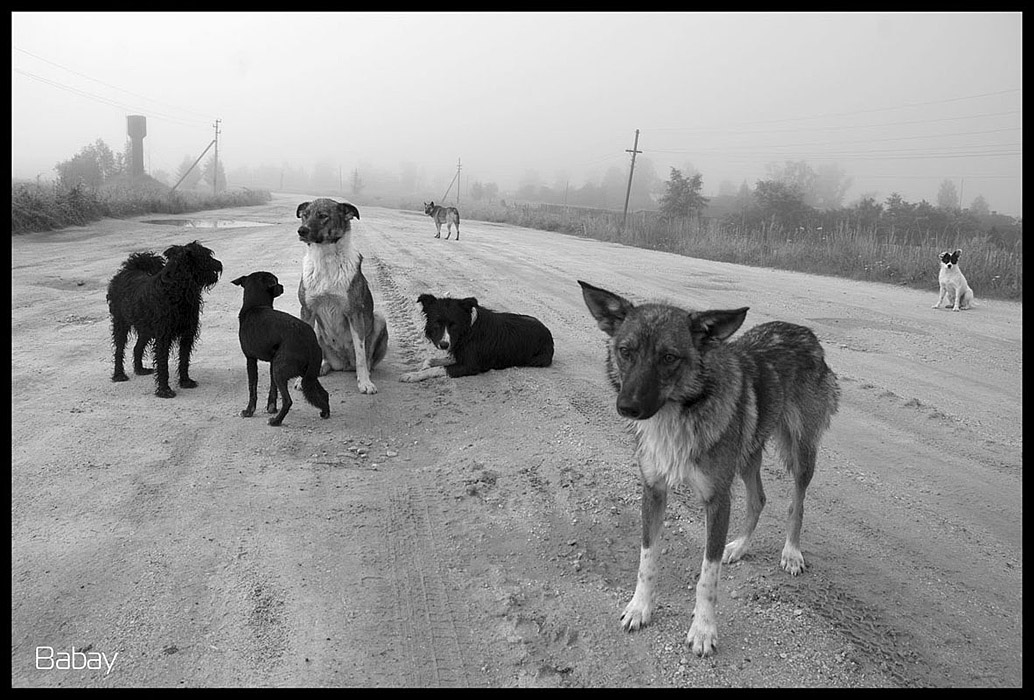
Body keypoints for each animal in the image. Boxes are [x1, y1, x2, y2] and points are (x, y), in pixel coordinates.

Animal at [107, 238, 222, 394]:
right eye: (206, 256)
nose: (219, 264)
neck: (178, 289)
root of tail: (129, 269)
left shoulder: (187, 333)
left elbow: (184, 359)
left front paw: (185, 382)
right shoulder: (163, 335)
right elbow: (163, 362)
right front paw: (164, 390)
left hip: (145, 328)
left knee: (137, 347)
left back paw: (140, 370)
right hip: (121, 324)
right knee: (119, 350)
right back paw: (119, 375)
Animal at [232, 270, 328, 425]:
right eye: (276, 282)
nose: (281, 286)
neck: (255, 306)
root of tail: (311, 342)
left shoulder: (251, 359)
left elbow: (252, 388)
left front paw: (248, 411)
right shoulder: (272, 362)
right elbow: (272, 388)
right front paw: (271, 407)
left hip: (280, 370)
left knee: (288, 401)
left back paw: (276, 421)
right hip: (307, 374)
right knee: (324, 394)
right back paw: (325, 412)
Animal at [297, 197, 388, 392]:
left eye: (323, 216)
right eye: (305, 215)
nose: (301, 230)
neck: (325, 259)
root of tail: (344, 363)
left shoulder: (354, 313)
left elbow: (361, 355)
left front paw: (365, 383)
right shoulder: (307, 311)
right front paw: (301, 380)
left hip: (379, 318)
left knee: (366, 360)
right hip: (318, 329)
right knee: (326, 359)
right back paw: (322, 366)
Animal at [397, 295, 558, 382]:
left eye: (454, 325)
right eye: (437, 324)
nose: (443, 345)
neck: (467, 330)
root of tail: (548, 332)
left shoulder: (470, 365)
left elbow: (440, 368)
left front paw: (413, 375)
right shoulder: (457, 351)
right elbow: (431, 361)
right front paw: (424, 366)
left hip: (537, 359)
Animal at [583, 279, 839, 653]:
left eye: (669, 357)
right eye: (625, 351)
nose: (627, 407)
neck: (678, 412)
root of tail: (804, 332)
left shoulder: (718, 500)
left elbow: (708, 574)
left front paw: (703, 630)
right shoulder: (653, 490)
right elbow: (647, 558)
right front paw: (640, 607)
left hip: (801, 452)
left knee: (797, 502)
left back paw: (791, 552)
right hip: (748, 454)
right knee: (759, 499)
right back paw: (740, 546)